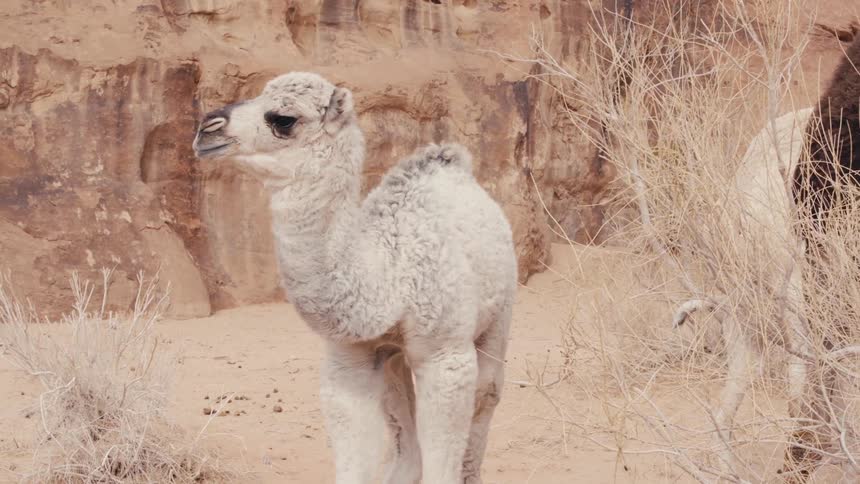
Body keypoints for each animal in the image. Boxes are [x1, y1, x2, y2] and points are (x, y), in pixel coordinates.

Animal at [192, 72, 518, 484]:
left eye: (283, 119)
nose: (207, 129)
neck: (389, 277)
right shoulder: (347, 360)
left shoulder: (445, 355)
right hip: (396, 354)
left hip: (499, 311)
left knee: (487, 392)